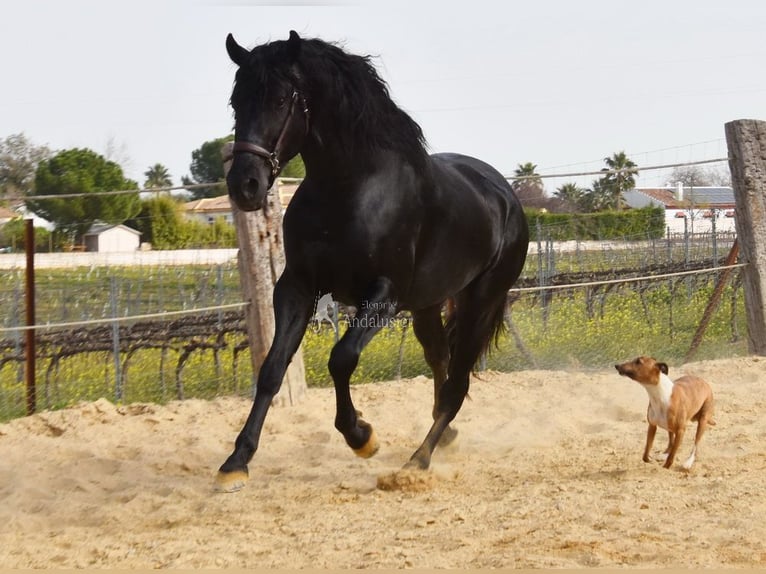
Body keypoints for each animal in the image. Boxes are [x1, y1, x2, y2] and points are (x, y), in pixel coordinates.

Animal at [218, 30, 530, 492]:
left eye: (279, 99)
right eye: (236, 101)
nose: (245, 186)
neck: (350, 189)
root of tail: (505, 195)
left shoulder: (383, 295)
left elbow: (341, 358)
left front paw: (361, 436)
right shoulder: (296, 287)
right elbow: (273, 368)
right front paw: (236, 462)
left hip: (481, 301)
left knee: (456, 384)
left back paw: (417, 461)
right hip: (428, 304)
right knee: (439, 360)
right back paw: (443, 436)